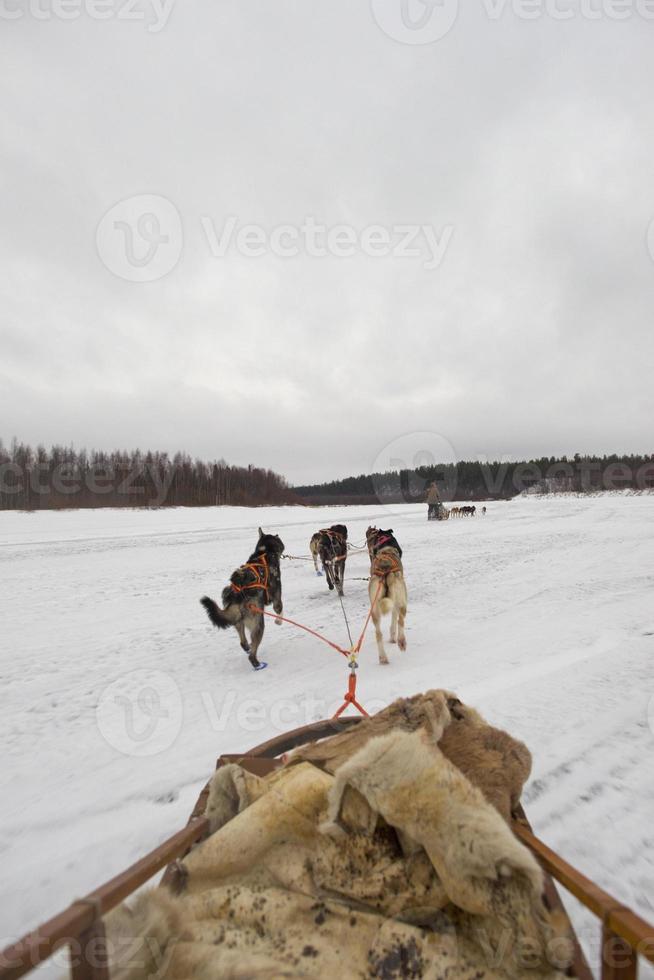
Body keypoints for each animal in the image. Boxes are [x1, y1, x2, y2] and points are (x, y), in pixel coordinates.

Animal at [199, 528, 284, 672]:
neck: (265, 552)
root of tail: (237, 594)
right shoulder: (277, 595)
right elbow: (279, 610)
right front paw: (279, 621)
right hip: (258, 623)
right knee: (251, 654)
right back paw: (257, 664)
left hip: (237, 619)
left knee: (243, 642)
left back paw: (247, 647)